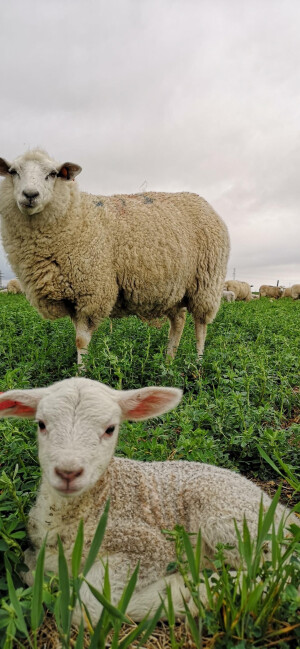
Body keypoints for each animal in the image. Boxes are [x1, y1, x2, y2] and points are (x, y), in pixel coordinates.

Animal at [0, 149, 230, 362]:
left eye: (53, 173)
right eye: (13, 172)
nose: (30, 195)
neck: (76, 215)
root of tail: (203, 202)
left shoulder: (91, 291)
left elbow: (81, 341)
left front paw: (82, 373)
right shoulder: (74, 296)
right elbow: (77, 339)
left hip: (206, 283)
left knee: (201, 326)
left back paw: (197, 364)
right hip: (174, 289)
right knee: (178, 322)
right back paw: (168, 361)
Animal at [0, 374, 296, 624]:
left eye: (110, 429)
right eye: (41, 424)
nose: (68, 472)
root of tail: (285, 512)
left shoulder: (147, 545)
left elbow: (90, 603)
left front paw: (167, 593)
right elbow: (33, 568)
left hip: (231, 521)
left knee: (278, 573)